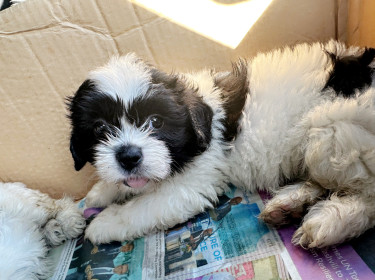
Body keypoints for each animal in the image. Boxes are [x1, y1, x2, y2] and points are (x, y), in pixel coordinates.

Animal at [67, 40, 375, 248]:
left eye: (156, 122)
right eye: (100, 128)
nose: (128, 156)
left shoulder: (192, 185)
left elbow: (143, 207)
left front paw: (104, 223)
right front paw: (101, 191)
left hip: (330, 130)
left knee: (366, 193)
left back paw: (332, 222)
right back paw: (289, 204)